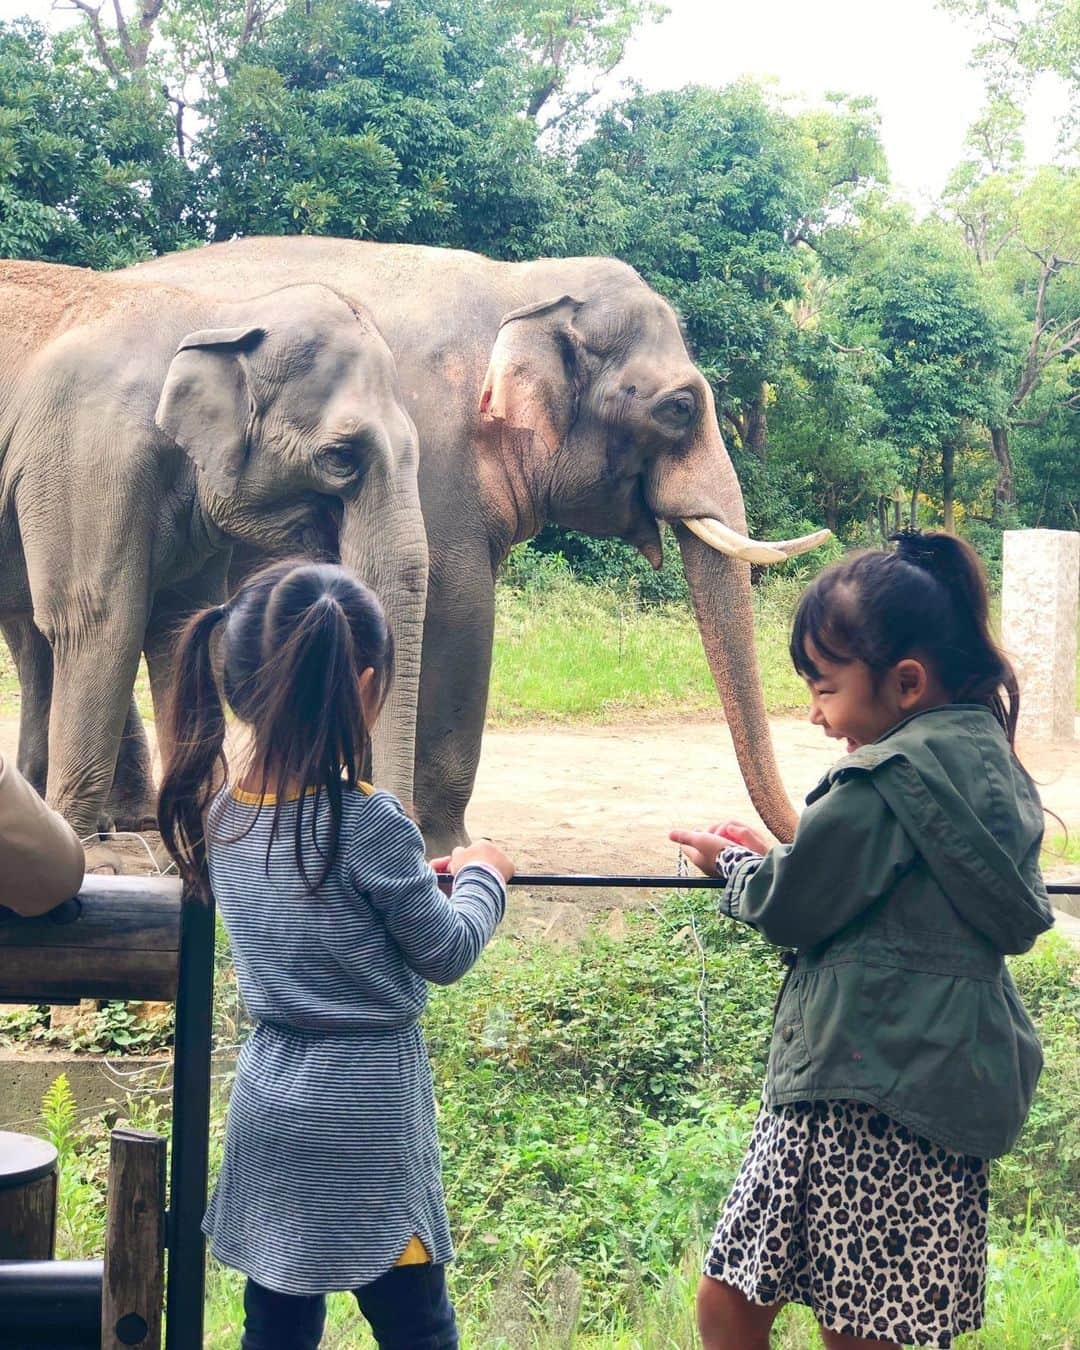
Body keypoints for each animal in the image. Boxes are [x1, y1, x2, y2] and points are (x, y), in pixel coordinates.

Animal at [0, 257, 429, 837]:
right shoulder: (84, 457)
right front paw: (79, 841)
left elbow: (179, 626)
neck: (219, 315)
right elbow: (95, 622)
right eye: (341, 457)